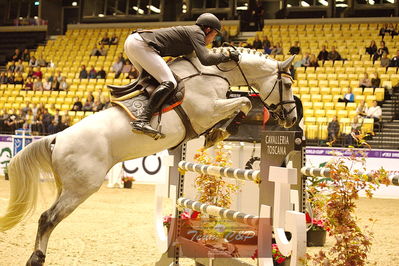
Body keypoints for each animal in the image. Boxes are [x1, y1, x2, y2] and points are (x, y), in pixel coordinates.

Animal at [0, 48, 296, 266]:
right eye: (287, 83)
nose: (291, 118)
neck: (213, 74)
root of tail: (57, 138)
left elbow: (240, 103)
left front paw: (218, 133)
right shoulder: (208, 110)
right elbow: (243, 103)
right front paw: (219, 132)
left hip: (69, 186)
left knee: (48, 218)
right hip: (81, 188)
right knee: (47, 218)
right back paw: (37, 259)